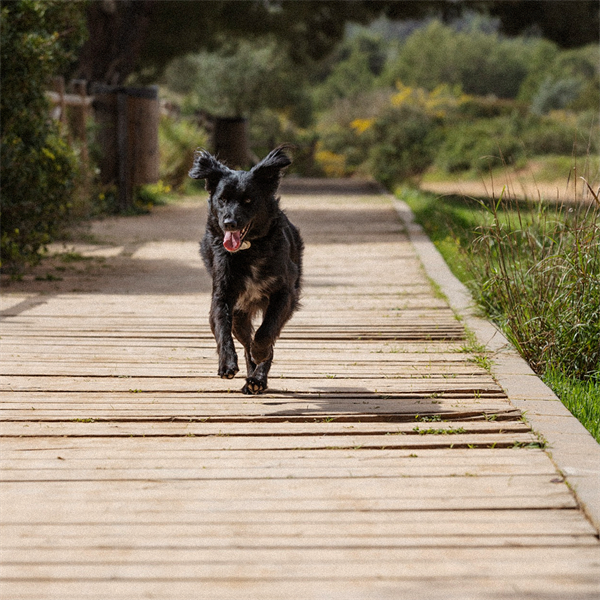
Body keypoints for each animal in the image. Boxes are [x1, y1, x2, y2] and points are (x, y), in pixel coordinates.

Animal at [189, 146, 302, 394]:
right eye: (222, 199)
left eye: (248, 200)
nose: (229, 223)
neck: (249, 250)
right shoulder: (222, 296)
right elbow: (222, 329)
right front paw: (227, 363)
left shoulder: (283, 294)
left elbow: (266, 332)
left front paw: (261, 353)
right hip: (240, 316)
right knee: (245, 340)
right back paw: (253, 378)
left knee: (265, 338)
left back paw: (258, 378)